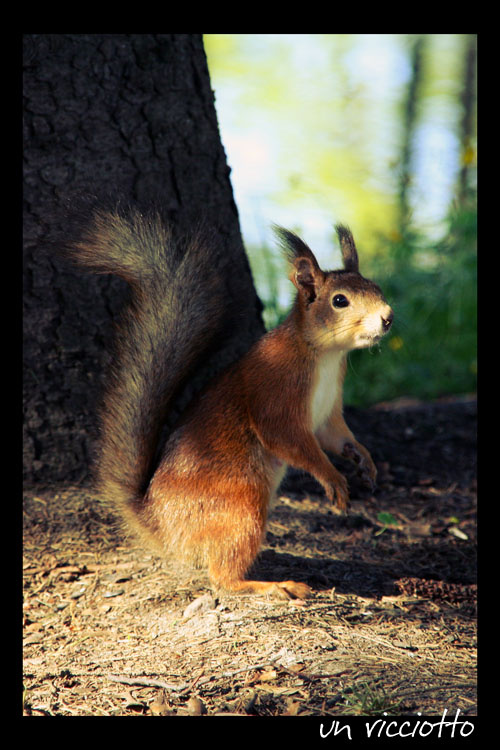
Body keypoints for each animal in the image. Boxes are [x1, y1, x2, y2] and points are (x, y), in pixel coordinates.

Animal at [66, 207, 393, 600]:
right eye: (340, 300)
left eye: (376, 288)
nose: (388, 317)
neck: (325, 355)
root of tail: (160, 525)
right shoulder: (276, 390)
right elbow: (289, 439)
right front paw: (333, 479)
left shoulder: (329, 410)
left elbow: (336, 436)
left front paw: (363, 460)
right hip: (241, 506)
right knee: (223, 577)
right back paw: (273, 585)